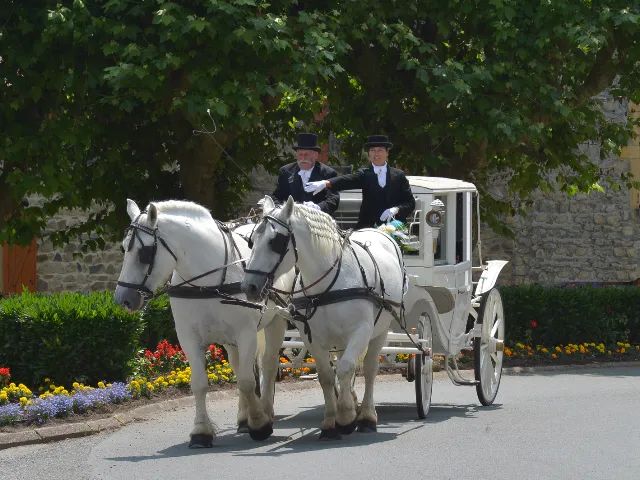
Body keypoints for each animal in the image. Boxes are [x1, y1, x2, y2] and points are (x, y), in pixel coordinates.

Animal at [115, 199, 292, 446]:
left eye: (145, 252)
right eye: (124, 248)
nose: (123, 299)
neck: (207, 282)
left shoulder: (246, 333)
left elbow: (247, 381)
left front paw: (260, 424)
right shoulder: (189, 338)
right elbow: (200, 383)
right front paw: (201, 431)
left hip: (276, 321)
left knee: (267, 364)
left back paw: (266, 411)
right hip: (230, 340)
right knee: (238, 366)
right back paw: (244, 418)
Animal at [241, 196, 404, 438]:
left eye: (276, 241)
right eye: (252, 241)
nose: (249, 286)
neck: (327, 285)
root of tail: (381, 232)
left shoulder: (361, 330)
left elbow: (346, 368)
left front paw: (345, 417)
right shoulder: (312, 338)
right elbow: (326, 375)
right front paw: (330, 421)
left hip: (380, 331)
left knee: (369, 369)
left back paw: (366, 416)